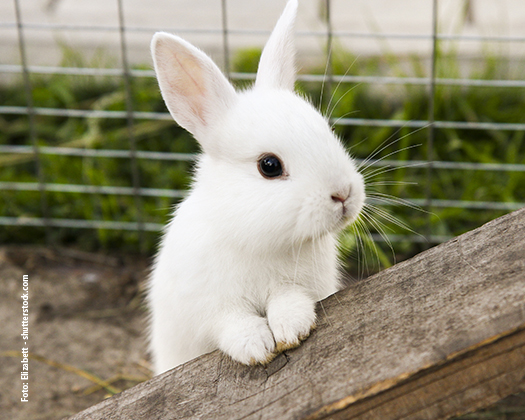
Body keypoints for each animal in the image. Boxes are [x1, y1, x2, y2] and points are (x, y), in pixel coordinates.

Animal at [147, 0, 364, 374]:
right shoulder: (210, 309)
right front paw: (256, 347)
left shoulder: (300, 285)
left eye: (326, 130)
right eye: (269, 166)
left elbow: (289, 300)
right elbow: (232, 323)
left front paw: (292, 328)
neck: (259, 241)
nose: (344, 194)